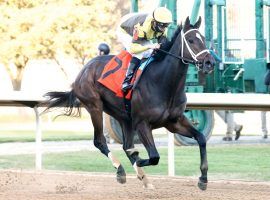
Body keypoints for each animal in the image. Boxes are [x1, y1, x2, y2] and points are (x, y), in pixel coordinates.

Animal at [42, 16, 215, 189]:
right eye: (191, 40)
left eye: (203, 38)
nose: (210, 63)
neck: (163, 84)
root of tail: (83, 70)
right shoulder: (142, 123)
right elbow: (154, 156)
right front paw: (138, 160)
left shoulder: (174, 122)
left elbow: (201, 138)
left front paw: (203, 178)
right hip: (94, 106)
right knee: (100, 141)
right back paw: (120, 170)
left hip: (123, 116)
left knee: (126, 145)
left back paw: (144, 178)